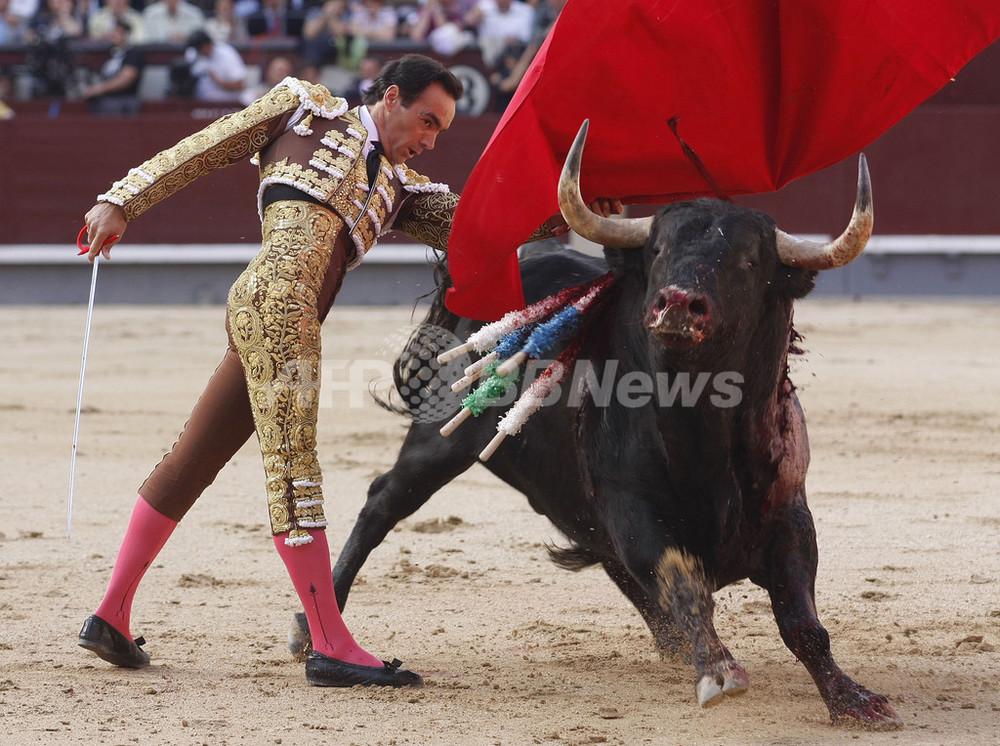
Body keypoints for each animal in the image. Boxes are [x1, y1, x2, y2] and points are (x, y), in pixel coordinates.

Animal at [288, 123, 900, 728]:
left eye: (750, 262)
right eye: (658, 250)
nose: (678, 303)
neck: (700, 427)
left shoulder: (790, 512)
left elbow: (803, 622)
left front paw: (854, 698)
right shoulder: (630, 508)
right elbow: (681, 580)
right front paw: (719, 669)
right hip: (442, 441)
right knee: (383, 500)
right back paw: (310, 633)